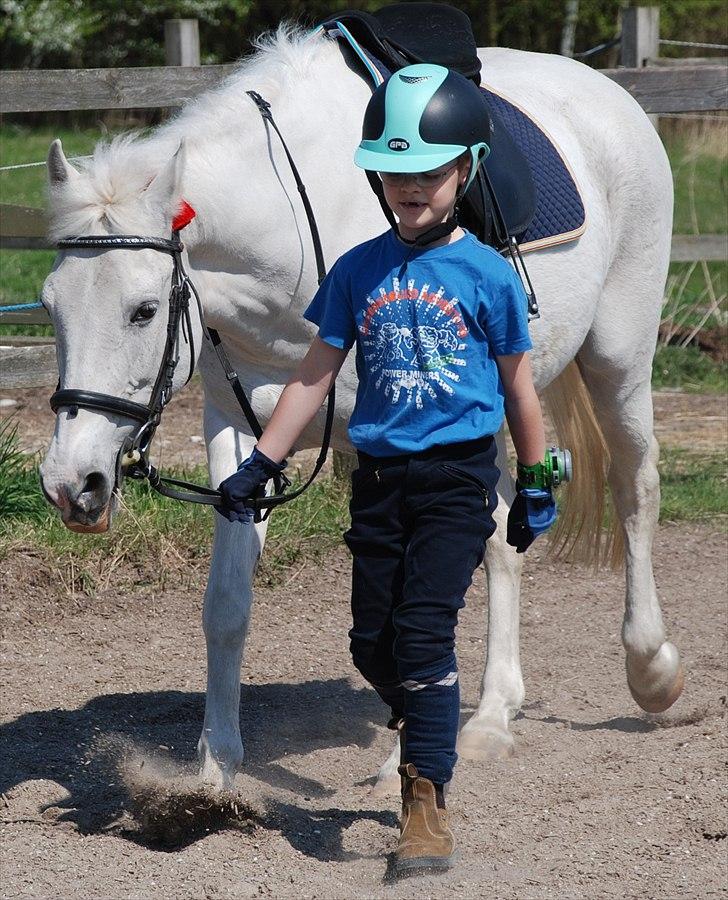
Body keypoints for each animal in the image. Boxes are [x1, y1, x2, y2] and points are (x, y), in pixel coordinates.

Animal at [37, 24, 684, 792]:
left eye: (142, 310)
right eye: (48, 306)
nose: (71, 484)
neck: (293, 234)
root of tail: (612, 97)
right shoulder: (239, 439)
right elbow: (226, 606)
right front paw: (216, 770)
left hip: (618, 360)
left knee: (634, 488)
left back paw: (650, 670)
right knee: (503, 538)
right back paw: (491, 717)